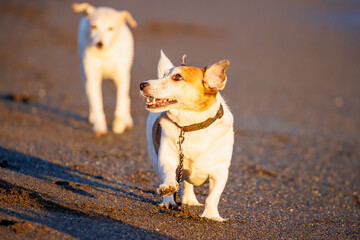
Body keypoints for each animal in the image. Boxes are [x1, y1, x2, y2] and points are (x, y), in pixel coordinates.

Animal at [72, 2, 137, 135]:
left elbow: (120, 102)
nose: (99, 44)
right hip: (84, 74)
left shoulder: (121, 79)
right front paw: (100, 126)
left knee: (125, 98)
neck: (105, 55)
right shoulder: (92, 79)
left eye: (110, 28)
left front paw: (118, 125)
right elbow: (96, 103)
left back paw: (126, 120)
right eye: (94, 26)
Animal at [139, 50, 235, 221]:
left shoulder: (220, 172)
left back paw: (190, 199)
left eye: (177, 77)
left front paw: (212, 216)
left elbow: (213, 197)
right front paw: (168, 189)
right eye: (163, 75)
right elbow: (169, 175)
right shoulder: (167, 157)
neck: (191, 126)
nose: (142, 84)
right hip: (155, 159)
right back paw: (169, 201)